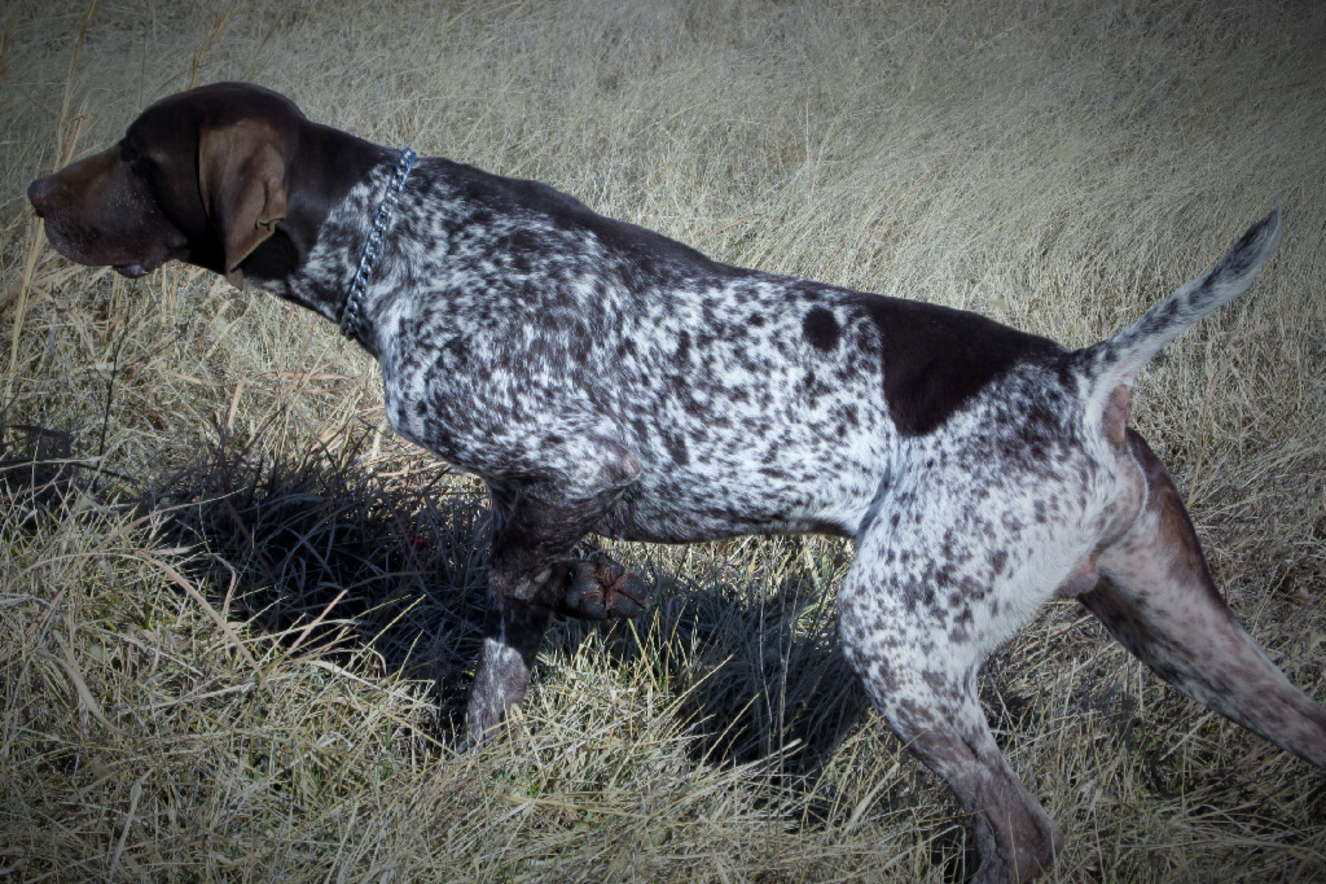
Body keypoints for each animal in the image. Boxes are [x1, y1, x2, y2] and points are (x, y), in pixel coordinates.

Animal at [23, 81, 1326, 880]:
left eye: (137, 157)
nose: (34, 193)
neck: (395, 245)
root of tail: (1083, 374)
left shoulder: (573, 459)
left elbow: (533, 561)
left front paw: (600, 588)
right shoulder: (526, 497)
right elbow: (500, 649)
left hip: (899, 630)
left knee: (1023, 831)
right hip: (1183, 632)